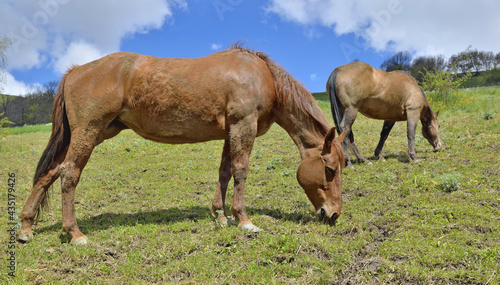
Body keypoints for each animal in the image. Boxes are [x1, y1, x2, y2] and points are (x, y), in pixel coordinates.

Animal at [20, 44, 348, 244]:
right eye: (330, 169)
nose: (333, 214)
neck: (261, 76)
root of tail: (75, 71)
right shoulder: (244, 125)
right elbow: (240, 171)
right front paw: (243, 220)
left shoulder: (231, 131)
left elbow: (224, 172)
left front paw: (220, 215)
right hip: (88, 133)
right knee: (69, 174)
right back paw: (74, 233)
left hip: (93, 134)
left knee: (50, 173)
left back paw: (25, 227)